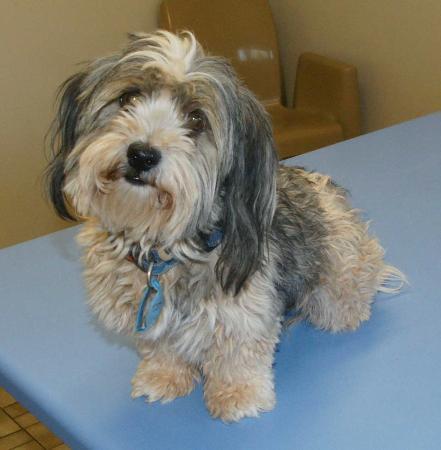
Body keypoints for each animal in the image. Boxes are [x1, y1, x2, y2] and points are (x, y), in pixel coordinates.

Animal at [46, 30, 403, 422]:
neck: (163, 249)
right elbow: (162, 347)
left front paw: (237, 395)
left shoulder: (245, 311)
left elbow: (238, 356)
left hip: (339, 268)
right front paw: (163, 377)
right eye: (128, 98)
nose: (141, 154)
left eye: (196, 119)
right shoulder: (149, 316)